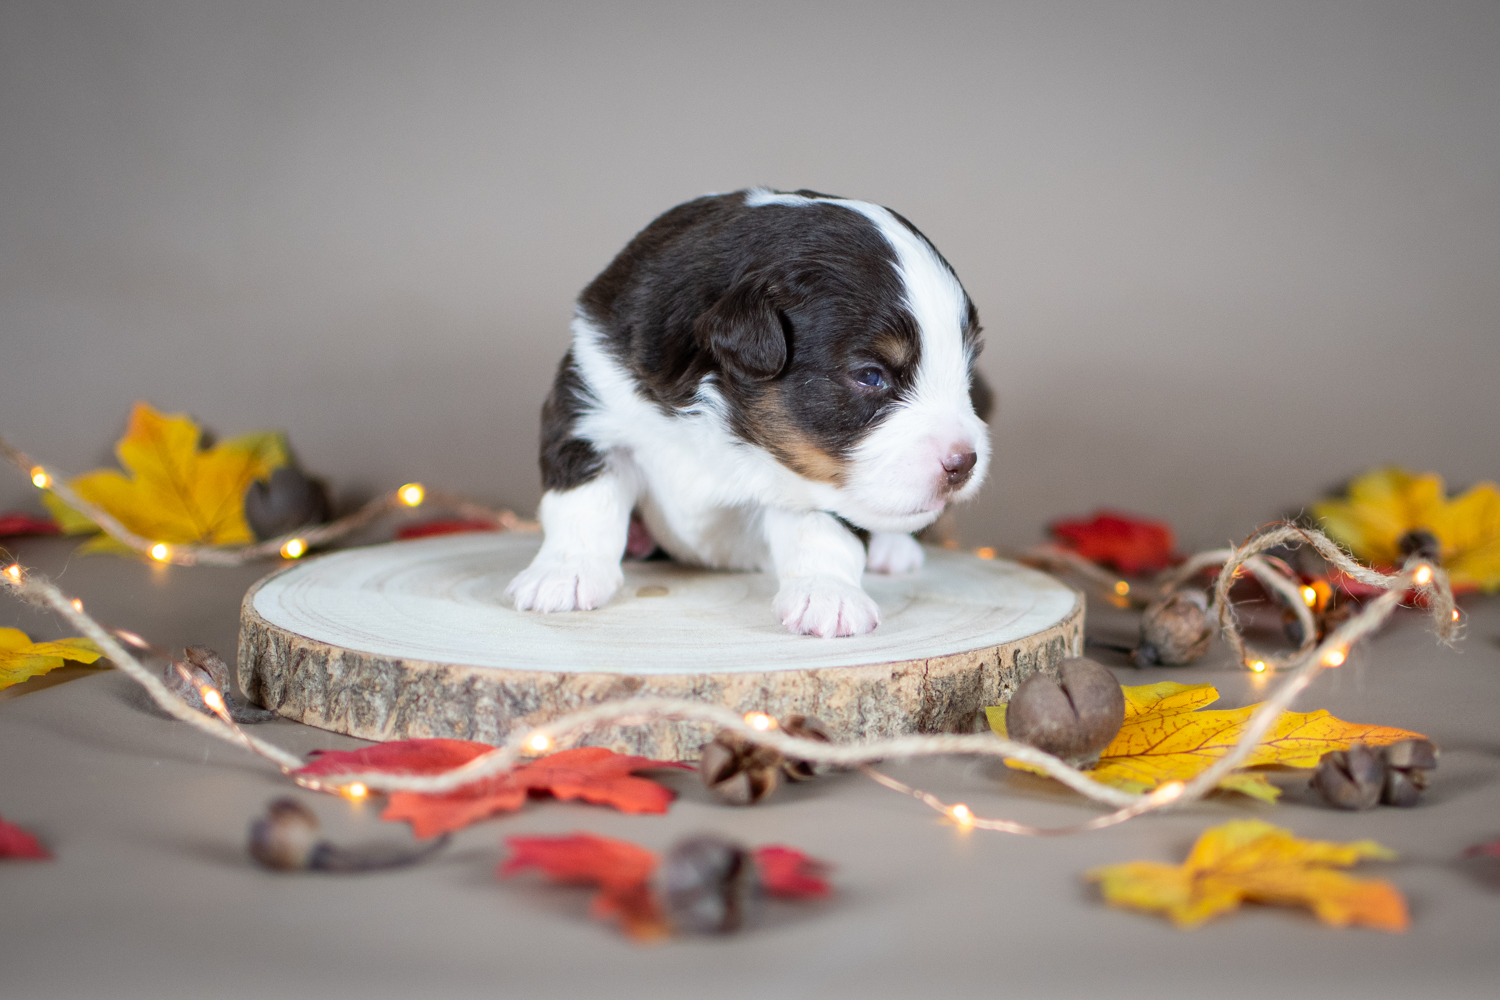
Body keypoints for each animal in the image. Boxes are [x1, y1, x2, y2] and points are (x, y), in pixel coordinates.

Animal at [510, 191, 990, 638]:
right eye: (870, 376)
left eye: (965, 367)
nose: (963, 463)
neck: (725, 421)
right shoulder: (592, 401)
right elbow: (584, 501)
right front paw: (563, 573)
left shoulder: (820, 476)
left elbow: (822, 529)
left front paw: (827, 596)